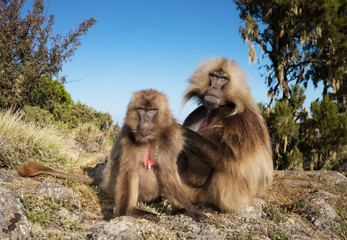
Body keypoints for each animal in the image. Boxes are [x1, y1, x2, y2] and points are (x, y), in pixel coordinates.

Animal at [179, 58, 274, 212]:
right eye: (214, 76)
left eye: (223, 79)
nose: (214, 87)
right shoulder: (198, 113)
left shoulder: (233, 116)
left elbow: (224, 155)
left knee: (226, 164)